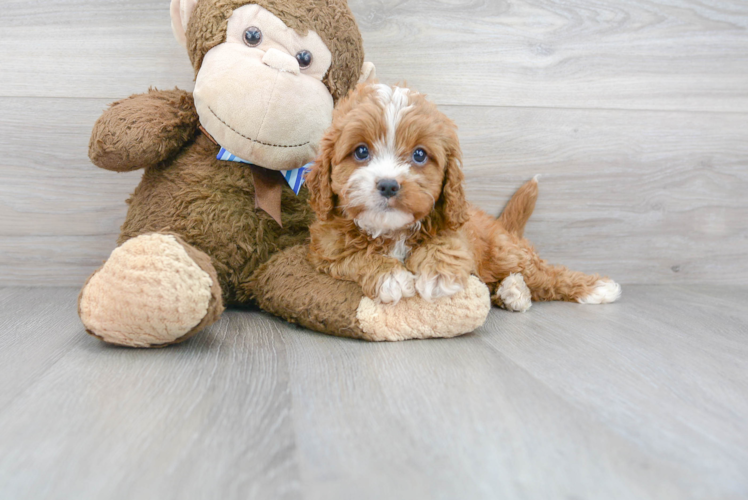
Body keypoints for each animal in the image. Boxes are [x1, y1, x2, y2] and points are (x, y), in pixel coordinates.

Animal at [304, 82, 620, 310]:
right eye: (361, 151)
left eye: (419, 155)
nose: (389, 185)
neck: (391, 231)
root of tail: (503, 226)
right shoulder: (327, 251)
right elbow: (356, 256)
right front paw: (390, 276)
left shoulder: (457, 228)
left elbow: (446, 244)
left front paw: (438, 274)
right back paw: (513, 292)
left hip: (504, 253)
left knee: (544, 273)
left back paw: (596, 288)